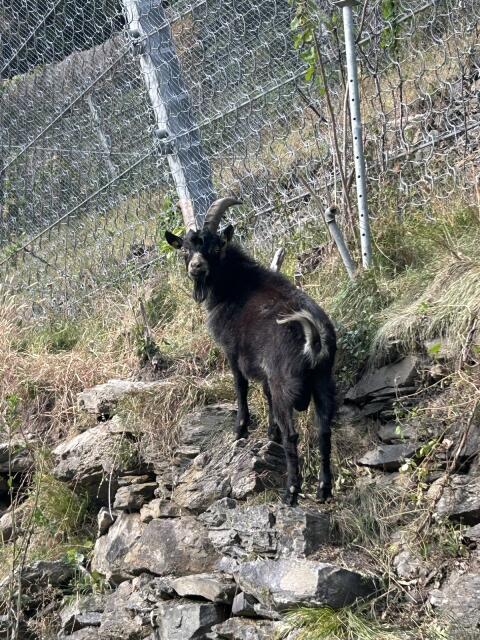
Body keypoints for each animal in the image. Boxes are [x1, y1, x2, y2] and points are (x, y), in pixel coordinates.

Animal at [165, 197, 336, 505]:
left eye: (214, 246)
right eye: (185, 248)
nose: (196, 267)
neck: (236, 285)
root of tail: (314, 341)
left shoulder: (233, 352)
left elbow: (240, 387)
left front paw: (240, 429)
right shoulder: (264, 369)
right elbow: (265, 396)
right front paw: (269, 433)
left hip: (285, 385)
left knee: (293, 434)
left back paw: (291, 492)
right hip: (323, 381)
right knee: (323, 429)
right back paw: (322, 489)